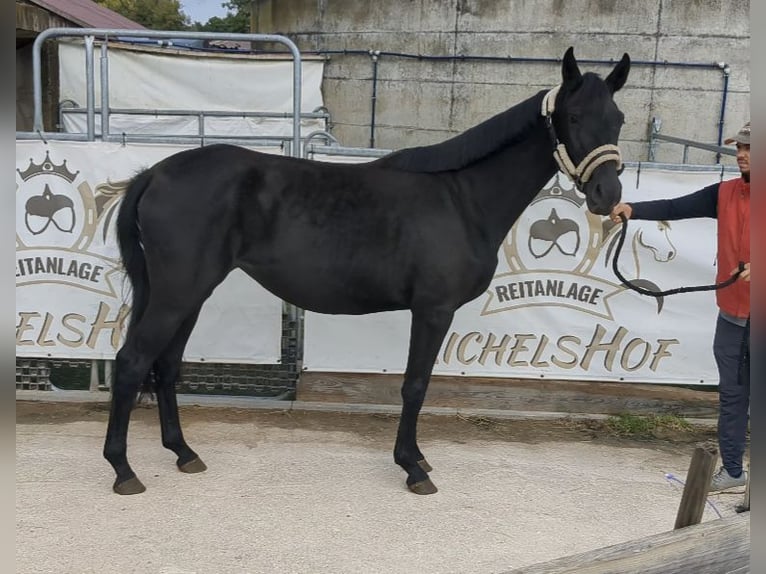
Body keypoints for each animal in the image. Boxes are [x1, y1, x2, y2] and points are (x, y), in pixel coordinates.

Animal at [104, 47, 630, 496]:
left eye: (618, 119)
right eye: (574, 117)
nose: (606, 195)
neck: (461, 199)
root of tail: (154, 173)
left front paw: (417, 457)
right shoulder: (433, 310)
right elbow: (415, 386)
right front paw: (413, 467)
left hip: (189, 294)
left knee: (166, 367)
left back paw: (183, 453)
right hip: (177, 293)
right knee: (132, 361)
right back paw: (123, 469)